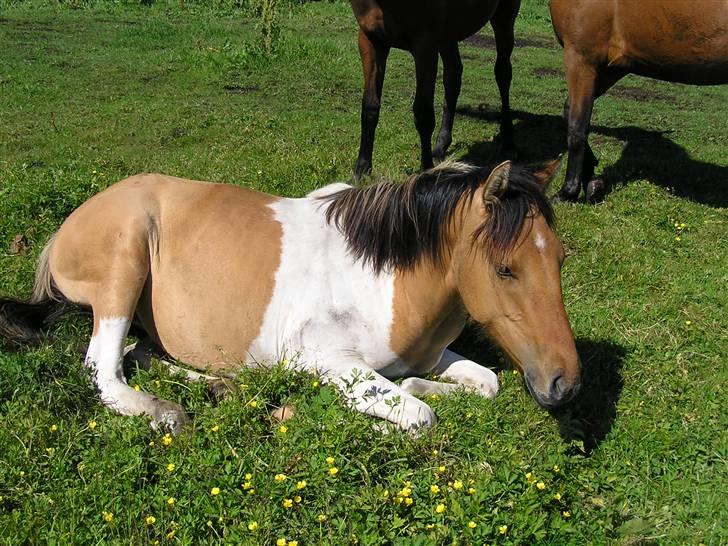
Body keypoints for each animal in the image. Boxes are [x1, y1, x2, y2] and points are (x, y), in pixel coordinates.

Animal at [0, 159, 580, 432]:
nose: (565, 384)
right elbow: (419, 418)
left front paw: (417, 383)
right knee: (103, 367)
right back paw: (166, 412)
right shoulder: (327, 361)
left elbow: (484, 383)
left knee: (138, 353)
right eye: (506, 269)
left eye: (559, 258)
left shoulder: (432, 354)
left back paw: (217, 385)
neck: (383, 277)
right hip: (125, 263)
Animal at [350, 0, 520, 176]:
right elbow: (370, 107)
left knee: (503, 74)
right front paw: (361, 169)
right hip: (448, 35)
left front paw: (426, 170)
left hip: (504, 17)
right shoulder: (371, 40)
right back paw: (440, 146)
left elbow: (423, 115)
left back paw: (508, 143)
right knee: (453, 77)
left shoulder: (426, 46)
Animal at [552, 0, 728, 200]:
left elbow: (577, 129)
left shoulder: (580, 58)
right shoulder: (612, 67)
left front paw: (568, 192)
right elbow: (569, 113)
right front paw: (592, 182)